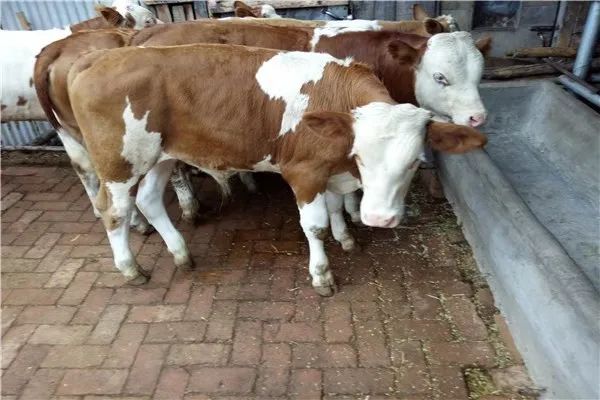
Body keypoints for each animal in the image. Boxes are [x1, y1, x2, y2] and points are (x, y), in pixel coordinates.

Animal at [65, 43, 487, 294]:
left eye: (415, 161)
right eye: (361, 156)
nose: (380, 218)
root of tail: (99, 57)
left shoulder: (328, 171)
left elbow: (336, 207)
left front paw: (345, 237)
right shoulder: (304, 171)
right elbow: (314, 226)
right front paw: (322, 274)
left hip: (161, 157)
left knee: (150, 201)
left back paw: (181, 254)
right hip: (119, 162)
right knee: (115, 211)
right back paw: (130, 269)